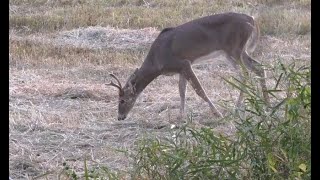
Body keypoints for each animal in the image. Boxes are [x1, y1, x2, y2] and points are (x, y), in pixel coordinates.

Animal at [107, 11, 270, 120]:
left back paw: (238, 108)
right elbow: (181, 91)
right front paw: (180, 117)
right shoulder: (181, 68)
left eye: (122, 100)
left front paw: (217, 113)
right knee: (258, 68)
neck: (157, 60)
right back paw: (266, 103)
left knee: (246, 74)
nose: (120, 117)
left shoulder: (184, 63)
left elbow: (199, 90)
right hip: (236, 52)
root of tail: (252, 20)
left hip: (234, 49)